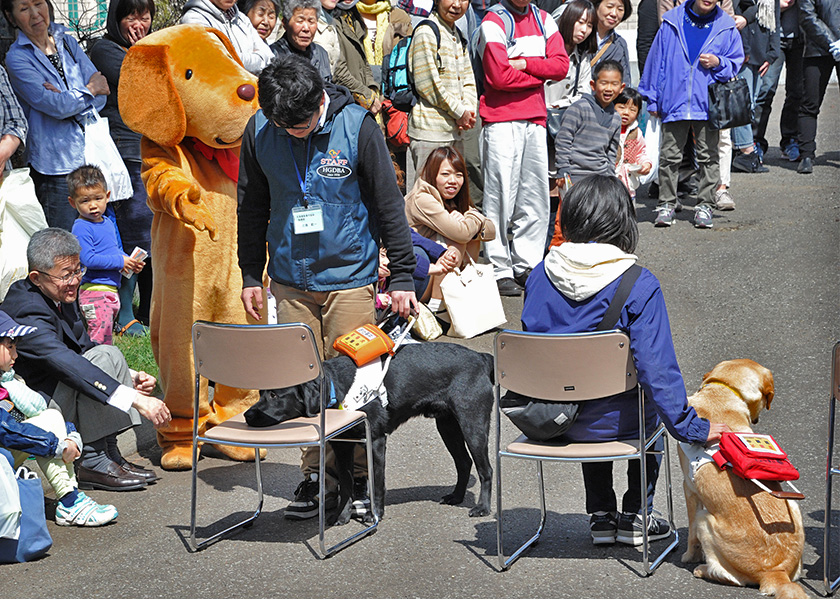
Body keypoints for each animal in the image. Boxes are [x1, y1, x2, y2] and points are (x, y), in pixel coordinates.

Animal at [243, 342, 492, 524]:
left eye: (275, 395)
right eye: (261, 393)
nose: (247, 415)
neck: (335, 387)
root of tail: (481, 357)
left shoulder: (375, 441)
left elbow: (377, 483)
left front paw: (375, 514)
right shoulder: (342, 444)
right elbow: (346, 483)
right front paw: (341, 516)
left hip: (472, 424)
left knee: (485, 469)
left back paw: (483, 507)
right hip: (447, 425)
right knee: (464, 463)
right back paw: (456, 496)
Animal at [680, 358, 804, 596]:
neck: (721, 392)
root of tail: (775, 573)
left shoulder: (688, 489)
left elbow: (690, 535)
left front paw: (689, 556)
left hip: (705, 520)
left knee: (730, 577)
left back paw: (702, 569)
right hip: (792, 506)